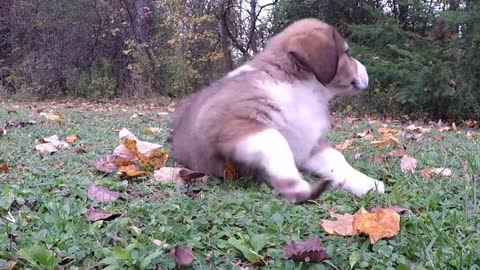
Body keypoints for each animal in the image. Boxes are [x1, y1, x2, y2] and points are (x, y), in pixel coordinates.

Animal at [171, 17, 384, 201]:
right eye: (347, 53)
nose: (367, 71)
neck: (302, 89)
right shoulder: (223, 120)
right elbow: (276, 139)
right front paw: (293, 182)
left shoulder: (308, 144)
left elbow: (337, 159)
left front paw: (366, 182)